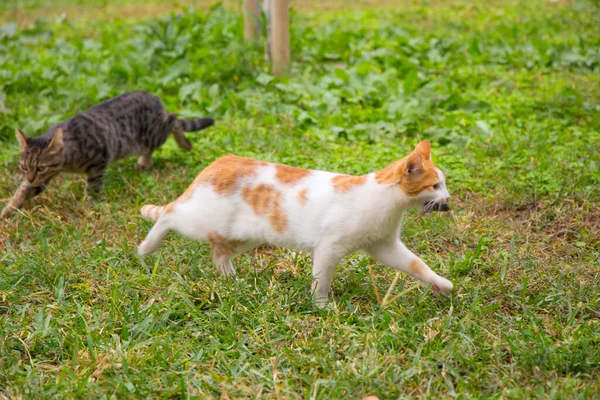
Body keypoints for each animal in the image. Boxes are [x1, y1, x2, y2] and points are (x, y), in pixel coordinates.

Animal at [1, 91, 213, 219]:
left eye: (41, 167)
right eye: (23, 166)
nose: (30, 176)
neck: (68, 157)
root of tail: (154, 97)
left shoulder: (98, 162)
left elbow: (92, 187)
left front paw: (89, 205)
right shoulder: (40, 180)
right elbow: (21, 192)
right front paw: (7, 211)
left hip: (154, 134)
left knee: (174, 118)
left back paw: (184, 143)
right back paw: (144, 163)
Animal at [138, 141, 452, 306]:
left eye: (444, 184)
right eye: (435, 185)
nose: (448, 199)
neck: (387, 204)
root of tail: (220, 161)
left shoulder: (384, 245)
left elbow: (417, 265)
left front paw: (441, 284)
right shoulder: (329, 248)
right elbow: (321, 279)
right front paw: (321, 305)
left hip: (244, 236)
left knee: (219, 252)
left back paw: (231, 279)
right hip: (199, 219)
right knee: (169, 213)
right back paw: (146, 247)